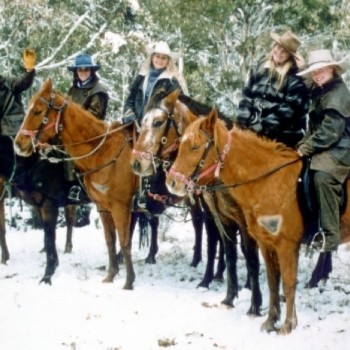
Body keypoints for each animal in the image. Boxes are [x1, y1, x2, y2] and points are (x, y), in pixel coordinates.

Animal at [14, 79, 138, 290]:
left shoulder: (51, 205)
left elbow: (50, 238)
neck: (103, 151)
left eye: (38, 111)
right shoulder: (103, 207)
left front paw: (47, 275)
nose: (19, 143)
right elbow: (110, 239)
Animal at [130, 89, 262, 312]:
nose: (137, 163)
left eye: (158, 122)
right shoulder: (212, 208)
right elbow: (218, 240)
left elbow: (226, 243)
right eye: (142, 121)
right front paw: (212, 277)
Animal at [166, 108, 350, 334]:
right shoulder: (265, 244)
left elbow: (288, 282)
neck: (268, 181)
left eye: (194, 146)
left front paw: (287, 326)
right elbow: (272, 282)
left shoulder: (287, 246)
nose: (171, 183)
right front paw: (270, 321)